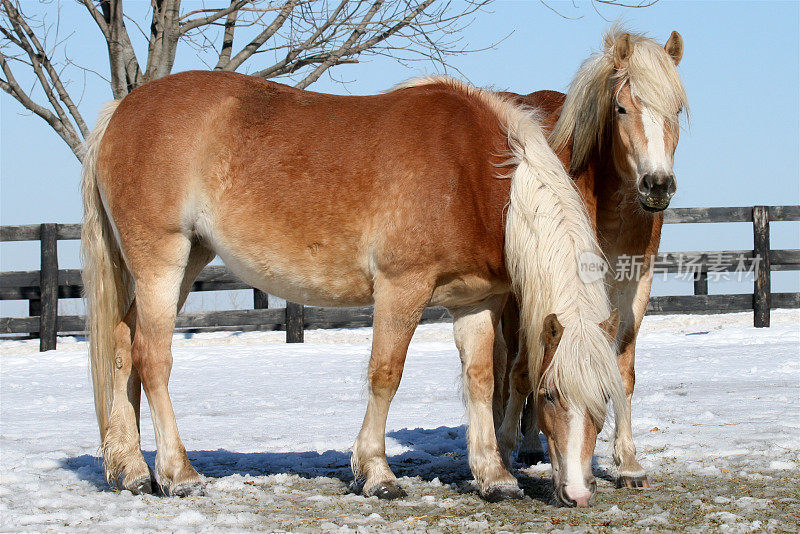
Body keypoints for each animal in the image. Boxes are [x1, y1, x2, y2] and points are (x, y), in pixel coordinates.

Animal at [81, 72, 620, 506]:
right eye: (550, 395)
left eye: (604, 401)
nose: (578, 494)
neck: (470, 171)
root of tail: (120, 111)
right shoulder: (402, 288)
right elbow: (386, 375)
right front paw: (377, 474)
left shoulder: (476, 302)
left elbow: (482, 381)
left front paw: (494, 476)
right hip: (162, 261)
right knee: (152, 358)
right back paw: (178, 474)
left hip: (187, 259)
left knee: (123, 348)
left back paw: (132, 471)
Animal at [494, 27, 688, 492]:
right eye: (621, 107)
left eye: (675, 109)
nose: (657, 185)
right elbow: (523, 369)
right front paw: (505, 450)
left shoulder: (633, 287)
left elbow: (622, 371)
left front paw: (628, 463)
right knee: (508, 363)